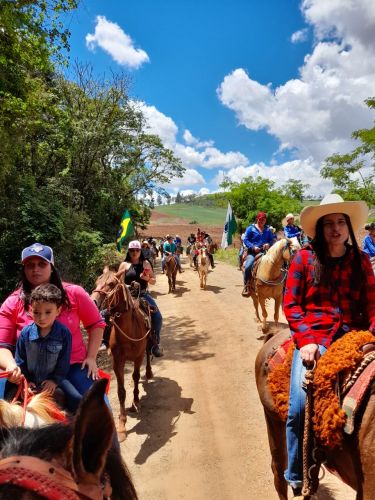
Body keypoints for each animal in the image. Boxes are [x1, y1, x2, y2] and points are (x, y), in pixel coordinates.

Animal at [91, 270, 153, 442]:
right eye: (96, 281)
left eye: (111, 284)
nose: (93, 301)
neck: (128, 330)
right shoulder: (117, 361)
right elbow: (121, 391)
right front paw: (121, 426)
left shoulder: (138, 357)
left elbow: (136, 377)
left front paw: (136, 402)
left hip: (148, 344)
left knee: (149, 354)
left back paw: (149, 373)